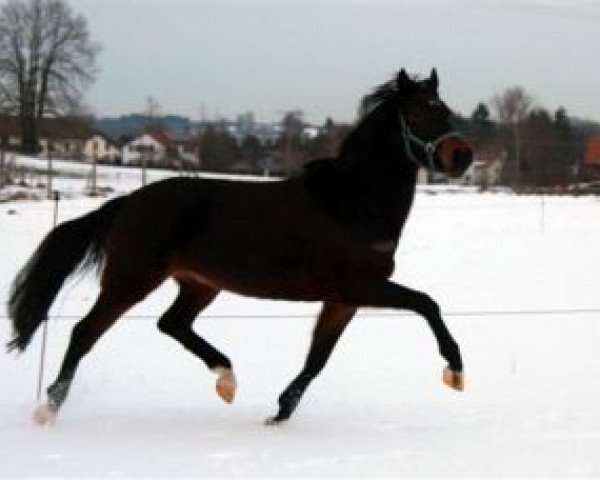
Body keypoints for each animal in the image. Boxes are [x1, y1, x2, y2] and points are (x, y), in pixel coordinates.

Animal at [5, 66, 474, 424]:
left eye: (446, 110)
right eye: (416, 112)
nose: (462, 157)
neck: (351, 203)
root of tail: (128, 202)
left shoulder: (343, 299)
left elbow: (318, 358)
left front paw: (280, 413)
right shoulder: (361, 288)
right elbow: (427, 304)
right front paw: (455, 371)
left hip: (199, 284)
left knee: (172, 324)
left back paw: (226, 379)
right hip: (131, 279)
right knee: (86, 332)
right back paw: (48, 409)